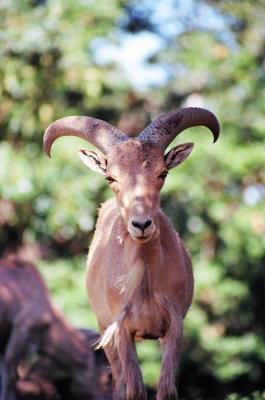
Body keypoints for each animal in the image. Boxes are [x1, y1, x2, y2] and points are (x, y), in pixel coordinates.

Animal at [44, 107, 220, 400]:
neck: (144, 281)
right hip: (104, 329)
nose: (141, 224)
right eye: (110, 177)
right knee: (119, 383)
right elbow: (134, 390)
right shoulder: (120, 329)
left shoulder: (174, 326)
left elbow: (167, 389)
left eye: (163, 173)